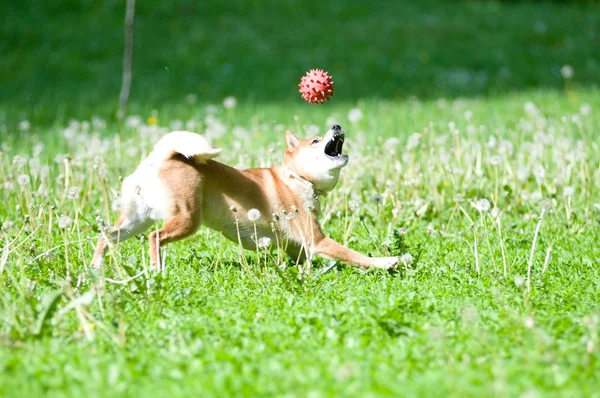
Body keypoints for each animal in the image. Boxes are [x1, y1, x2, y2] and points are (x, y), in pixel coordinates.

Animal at [92, 125, 398, 270]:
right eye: (314, 140)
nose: (336, 125)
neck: (296, 179)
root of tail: (160, 158)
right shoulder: (316, 240)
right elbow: (354, 255)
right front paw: (387, 262)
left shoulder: (296, 246)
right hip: (186, 219)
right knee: (156, 238)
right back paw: (157, 270)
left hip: (136, 221)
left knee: (107, 236)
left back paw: (95, 268)